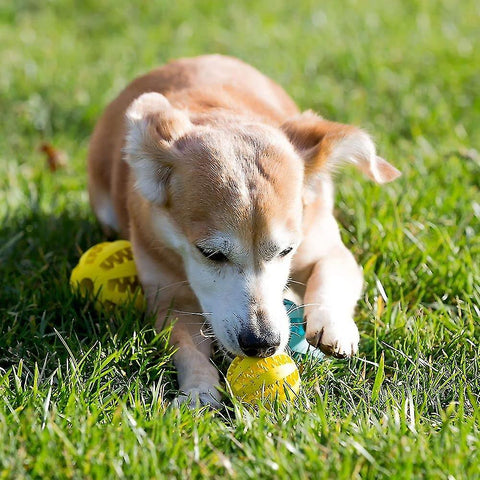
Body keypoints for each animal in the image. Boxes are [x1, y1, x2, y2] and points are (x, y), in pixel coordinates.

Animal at [87, 54, 402, 406]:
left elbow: (332, 272)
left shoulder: (326, 247)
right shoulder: (170, 300)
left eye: (287, 250)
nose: (263, 343)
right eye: (210, 254)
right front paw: (199, 390)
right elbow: (186, 348)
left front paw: (333, 326)